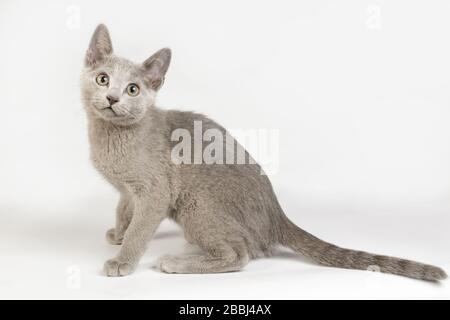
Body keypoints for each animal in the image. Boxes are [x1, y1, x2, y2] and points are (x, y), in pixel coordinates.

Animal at [81, 24, 446, 280]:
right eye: (103, 79)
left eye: (133, 89)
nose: (113, 98)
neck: (111, 136)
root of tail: (277, 215)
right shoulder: (127, 191)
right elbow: (124, 211)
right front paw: (118, 234)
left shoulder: (155, 191)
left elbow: (141, 229)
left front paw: (122, 260)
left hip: (195, 204)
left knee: (240, 254)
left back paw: (177, 262)